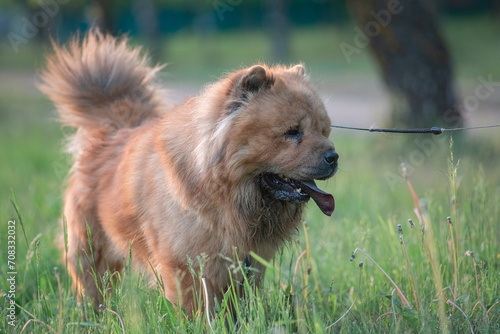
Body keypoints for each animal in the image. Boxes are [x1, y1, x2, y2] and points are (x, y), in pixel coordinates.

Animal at [38, 30, 336, 314]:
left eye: (323, 130)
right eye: (292, 132)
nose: (334, 157)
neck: (224, 195)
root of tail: (111, 131)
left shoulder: (247, 264)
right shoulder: (185, 265)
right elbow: (197, 309)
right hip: (91, 253)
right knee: (92, 290)